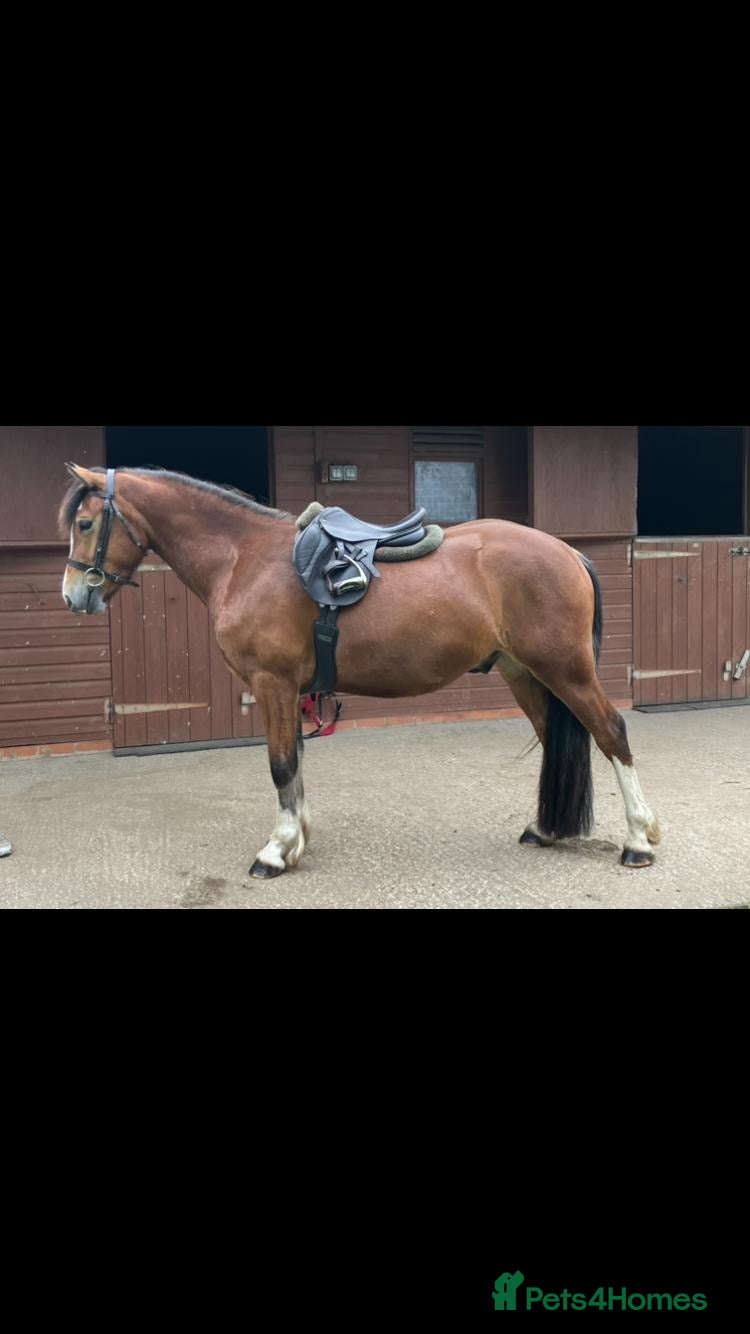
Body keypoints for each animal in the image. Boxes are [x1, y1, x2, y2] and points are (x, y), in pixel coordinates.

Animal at [59, 464, 660, 879]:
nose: (73, 597)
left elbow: (280, 765)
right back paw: (546, 829)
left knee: (612, 733)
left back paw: (639, 839)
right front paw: (297, 839)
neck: (244, 557)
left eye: (86, 523)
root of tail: (566, 552)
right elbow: (295, 763)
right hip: (525, 674)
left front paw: (275, 851)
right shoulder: (289, 692)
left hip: (565, 670)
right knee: (559, 737)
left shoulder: (272, 684)